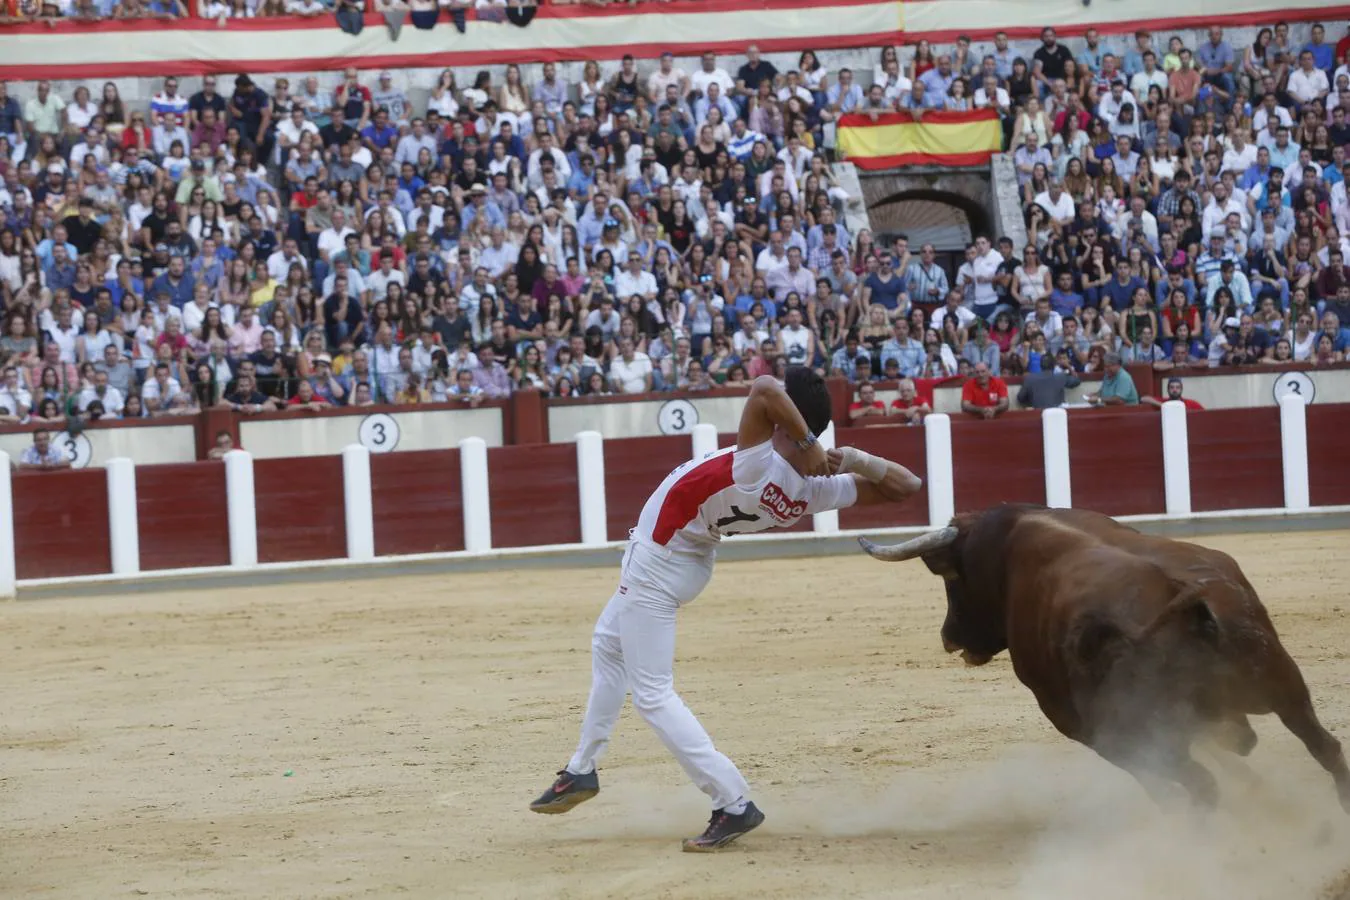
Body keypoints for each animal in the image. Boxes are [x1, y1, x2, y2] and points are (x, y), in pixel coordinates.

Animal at [864, 504, 1350, 814]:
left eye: (952, 581)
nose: (948, 637)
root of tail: (1185, 598)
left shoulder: (1086, 727)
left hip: (1133, 732)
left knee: (1200, 786)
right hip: (1282, 686)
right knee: (1324, 747)